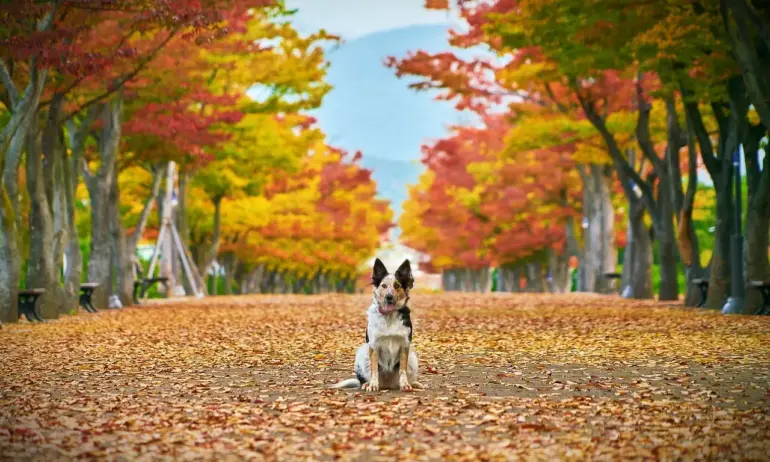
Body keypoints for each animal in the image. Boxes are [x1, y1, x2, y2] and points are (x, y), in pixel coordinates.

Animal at [332, 258, 420, 392]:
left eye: (397, 285)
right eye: (383, 285)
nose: (389, 297)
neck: (389, 315)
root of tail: (388, 385)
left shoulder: (405, 345)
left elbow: (402, 370)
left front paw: (405, 384)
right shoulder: (374, 345)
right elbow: (374, 370)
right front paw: (373, 385)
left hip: (412, 357)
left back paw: (413, 383)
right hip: (362, 352)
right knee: (364, 378)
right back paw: (366, 384)